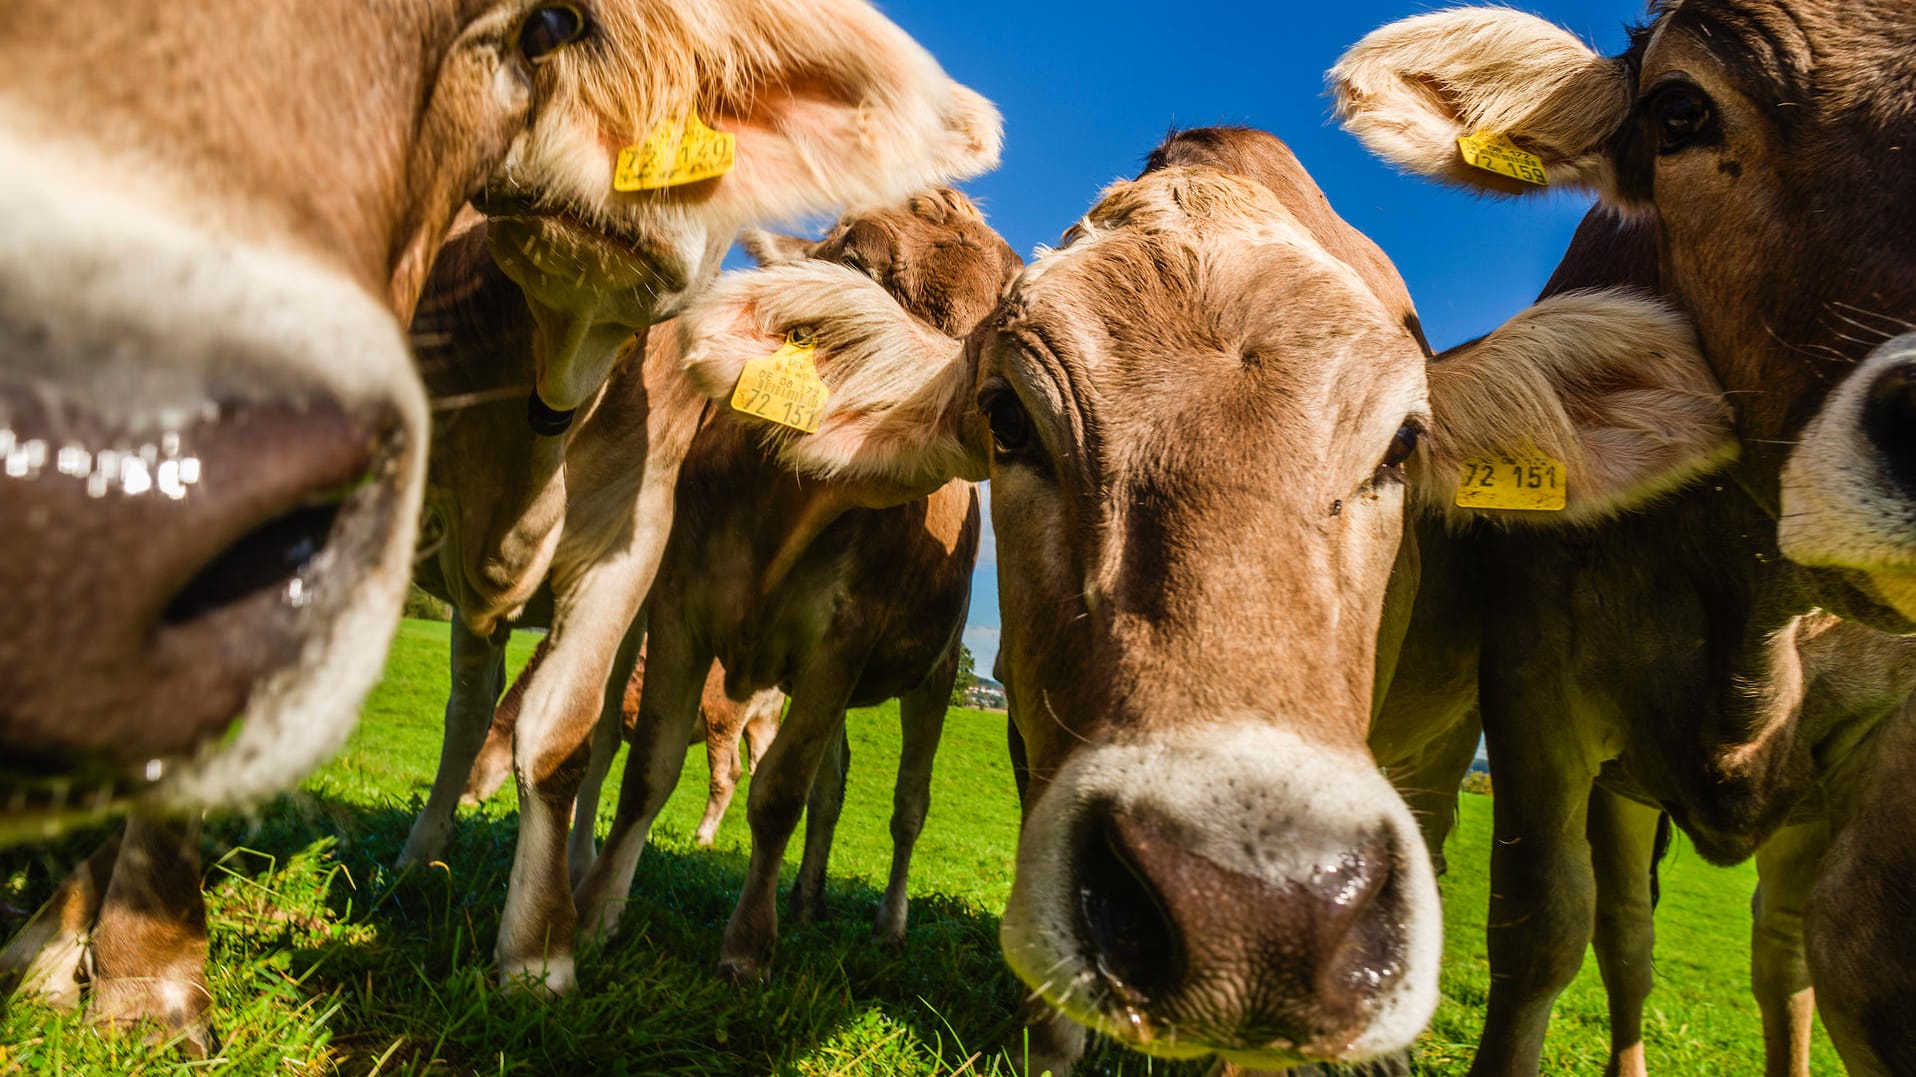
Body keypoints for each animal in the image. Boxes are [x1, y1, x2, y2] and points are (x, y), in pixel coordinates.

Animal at [3, 0, 1003, 1042]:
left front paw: (539, 951)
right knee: (470, 705)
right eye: (551, 32)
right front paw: (93, 956)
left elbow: (565, 741)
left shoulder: (635, 557)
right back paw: (428, 851)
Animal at [1333, 4, 1916, 1065]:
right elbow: (1545, 931)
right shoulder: (1536, 686)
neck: (1759, 604)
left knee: (1783, 952)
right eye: (1679, 110)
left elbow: (1861, 961)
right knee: (1630, 935)